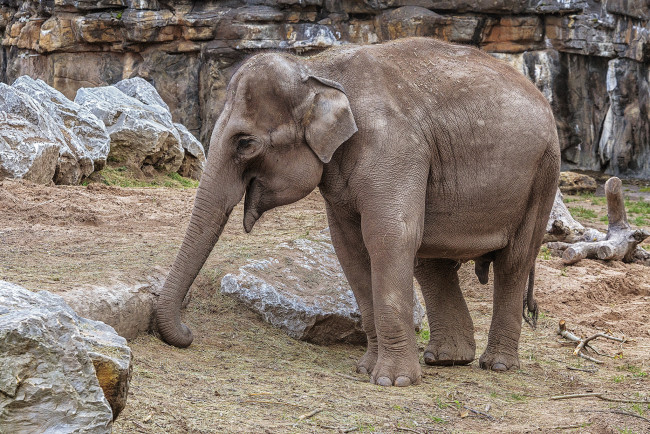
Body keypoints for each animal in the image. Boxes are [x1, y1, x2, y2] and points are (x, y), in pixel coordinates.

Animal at [154, 36, 560, 386]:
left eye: (245, 143)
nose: (189, 333)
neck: (316, 67)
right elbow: (348, 247)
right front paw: (366, 369)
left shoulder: (394, 146)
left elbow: (387, 236)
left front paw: (392, 381)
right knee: (431, 262)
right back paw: (445, 359)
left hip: (544, 173)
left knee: (514, 261)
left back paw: (498, 365)